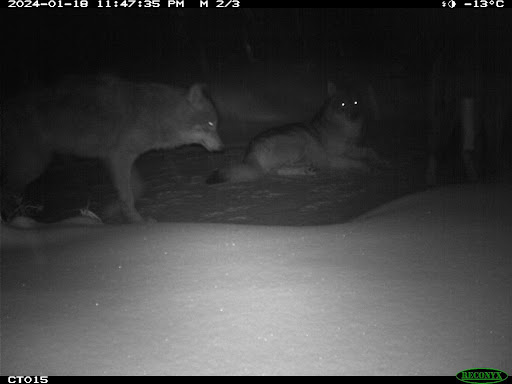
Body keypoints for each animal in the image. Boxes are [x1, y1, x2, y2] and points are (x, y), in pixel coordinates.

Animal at [2, 74, 223, 222]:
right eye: (211, 124)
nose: (222, 147)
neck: (157, 115)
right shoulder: (120, 156)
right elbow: (128, 194)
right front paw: (137, 222)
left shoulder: (116, 158)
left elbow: (136, 188)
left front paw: (113, 210)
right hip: (33, 166)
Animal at [206, 81, 386, 184]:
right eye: (342, 105)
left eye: (355, 103)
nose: (354, 116)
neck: (343, 128)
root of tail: (251, 151)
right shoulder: (333, 157)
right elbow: (357, 162)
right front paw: (370, 168)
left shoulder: (352, 148)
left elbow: (370, 151)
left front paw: (382, 162)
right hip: (299, 143)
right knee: (276, 170)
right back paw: (306, 169)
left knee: (279, 169)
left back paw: (307, 169)